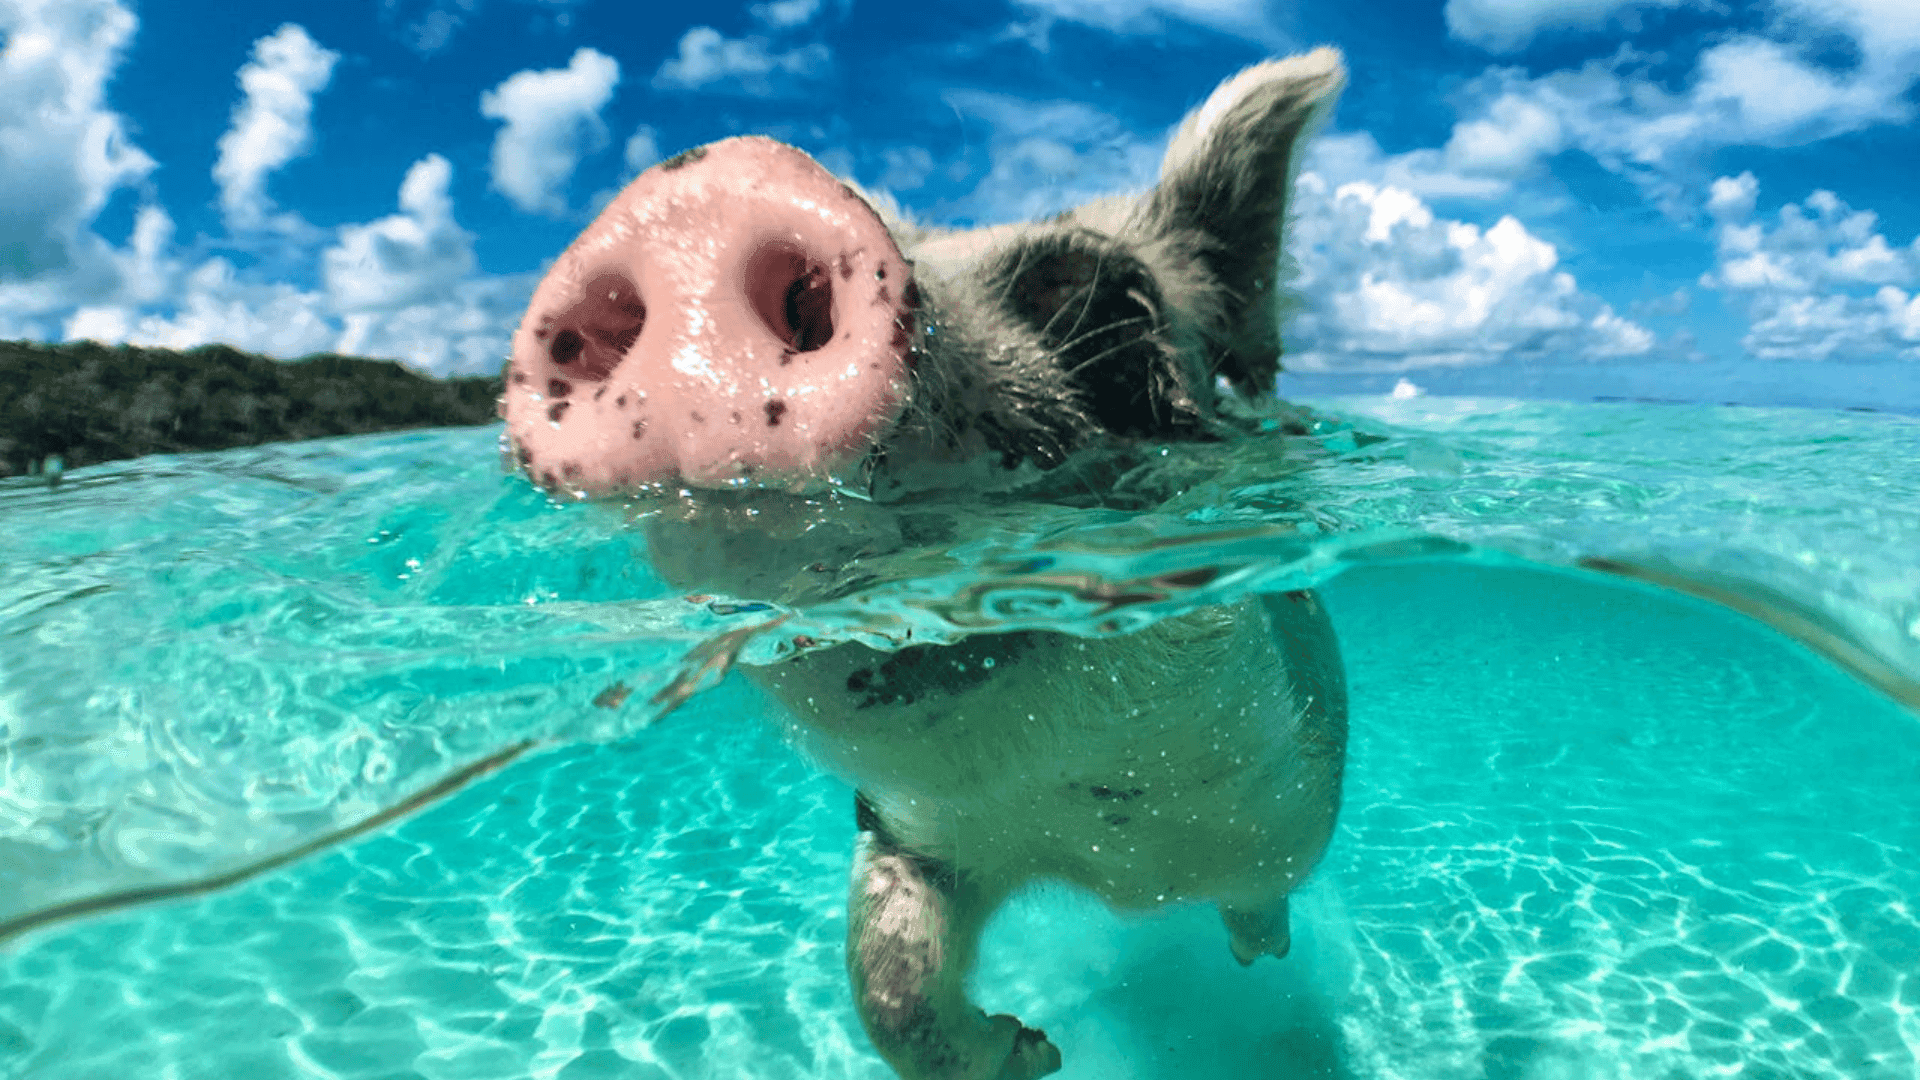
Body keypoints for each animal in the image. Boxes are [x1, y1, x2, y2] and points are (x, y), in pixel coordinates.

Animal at [500, 48, 1350, 1080]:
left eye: (1103, 302)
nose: (700, 196)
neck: (1107, 852)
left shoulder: (1288, 804)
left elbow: (1264, 892)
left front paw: (1243, 962)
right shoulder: (906, 832)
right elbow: (888, 981)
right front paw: (1035, 1051)